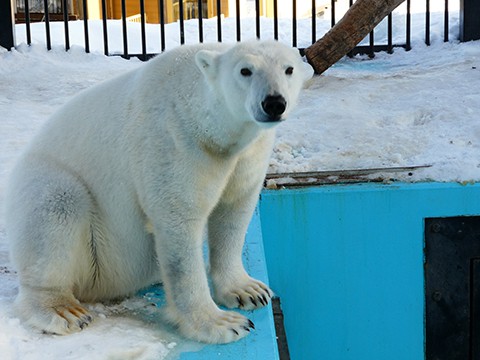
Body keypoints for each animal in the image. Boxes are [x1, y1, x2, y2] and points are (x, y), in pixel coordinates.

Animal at [7, 39, 314, 344]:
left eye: (288, 69)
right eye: (245, 70)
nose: (274, 103)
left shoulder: (249, 153)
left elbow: (234, 209)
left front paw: (249, 291)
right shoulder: (173, 141)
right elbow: (179, 223)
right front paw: (223, 323)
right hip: (54, 194)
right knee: (57, 207)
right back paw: (63, 309)